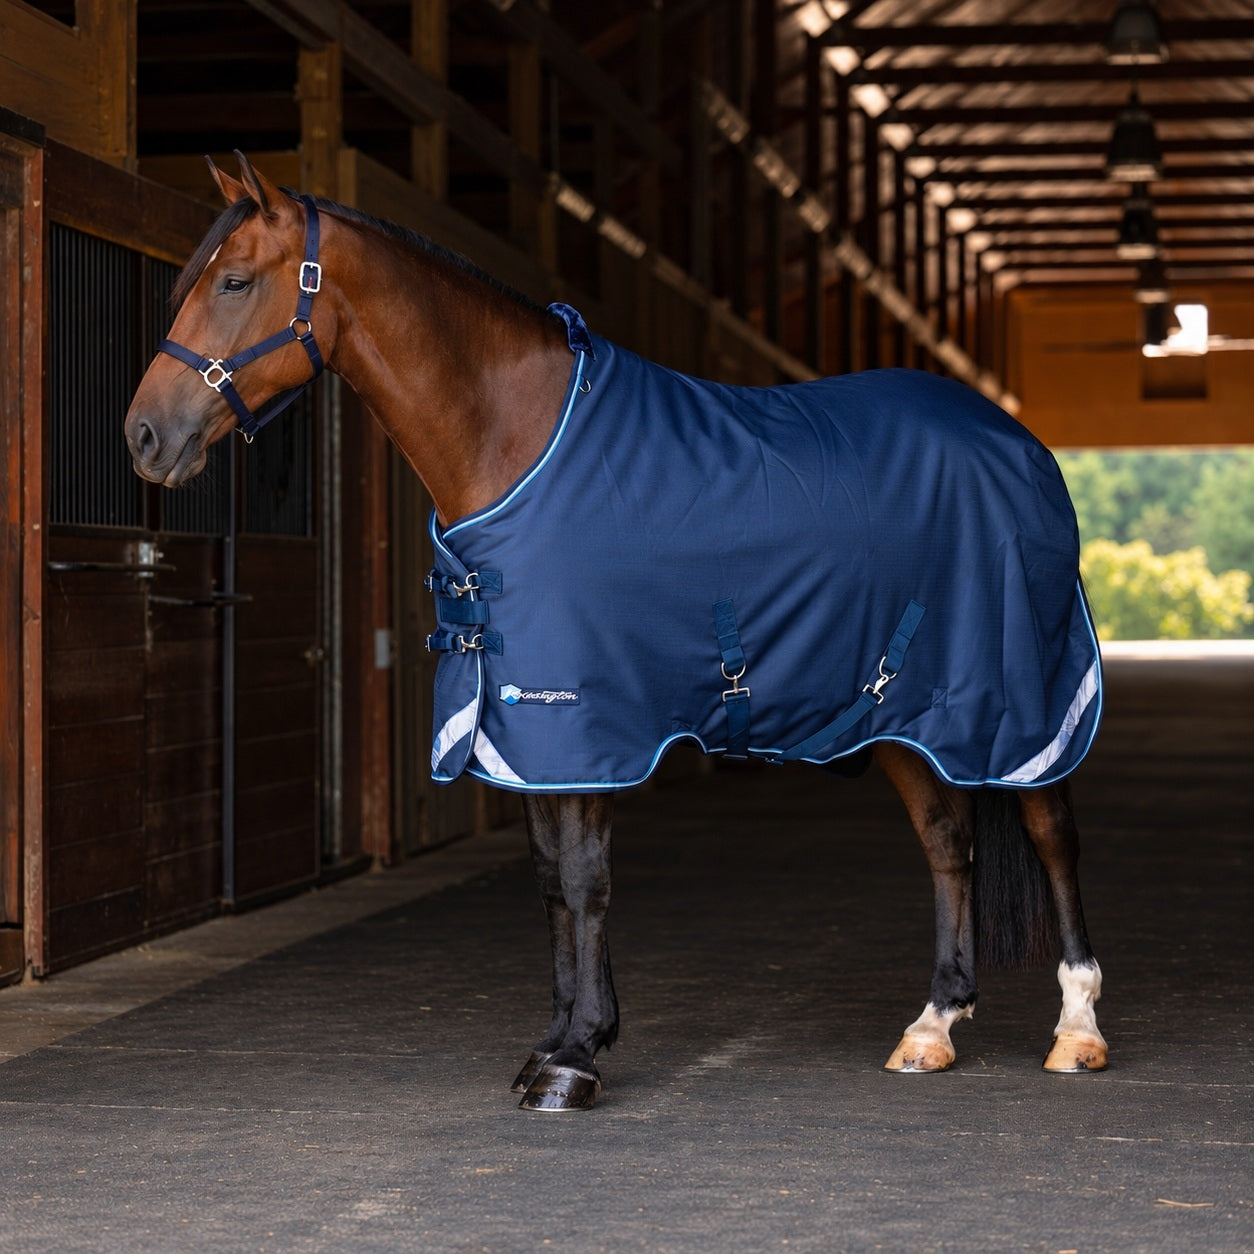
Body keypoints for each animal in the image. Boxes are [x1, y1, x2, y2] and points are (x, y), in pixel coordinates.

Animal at [125, 154, 1107, 1112]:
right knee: (948, 842)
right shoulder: (524, 725)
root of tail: (1017, 442)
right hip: (903, 711)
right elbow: (548, 884)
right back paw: (933, 1026)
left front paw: (575, 1062)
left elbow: (584, 879)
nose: (143, 436)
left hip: (1022, 702)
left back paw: (1076, 1030)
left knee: (1053, 832)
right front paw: (559, 1040)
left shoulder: (587, 717)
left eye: (235, 281)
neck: (518, 441)